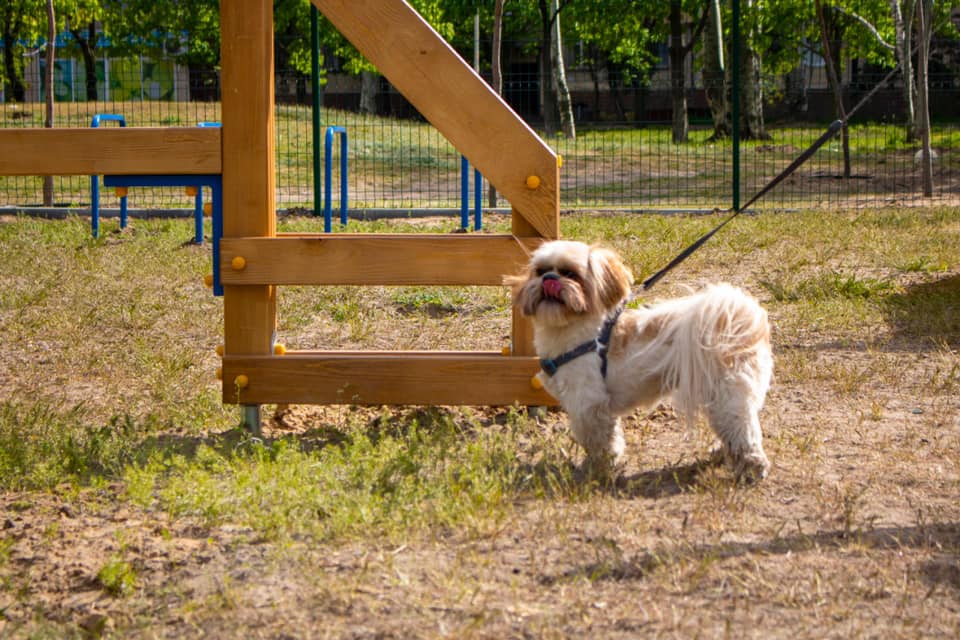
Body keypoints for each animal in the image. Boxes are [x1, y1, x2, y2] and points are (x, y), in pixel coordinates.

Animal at [510, 240, 772, 480]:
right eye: (540, 271)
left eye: (570, 274)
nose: (549, 278)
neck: (574, 330)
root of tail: (737, 317)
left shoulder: (588, 404)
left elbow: (600, 442)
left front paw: (598, 468)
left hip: (727, 395)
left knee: (743, 431)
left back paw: (751, 467)